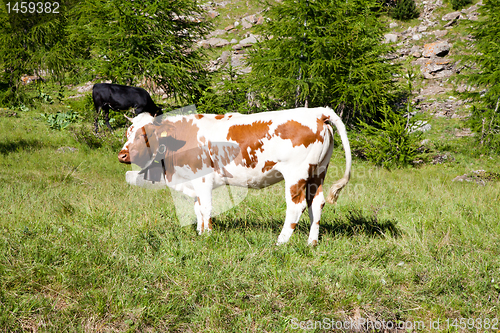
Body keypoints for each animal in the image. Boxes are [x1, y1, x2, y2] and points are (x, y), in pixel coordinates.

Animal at [119, 106, 352, 244]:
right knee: (316, 203)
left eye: (145, 134)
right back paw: (312, 242)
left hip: (296, 174)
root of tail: (317, 112)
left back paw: (281, 241)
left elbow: (205, 207)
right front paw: (200, 233)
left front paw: (207, 236)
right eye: (128, 132)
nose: (122, 155)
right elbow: (197, 208)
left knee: (296, 206)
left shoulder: (202, 178)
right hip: (318, 172)